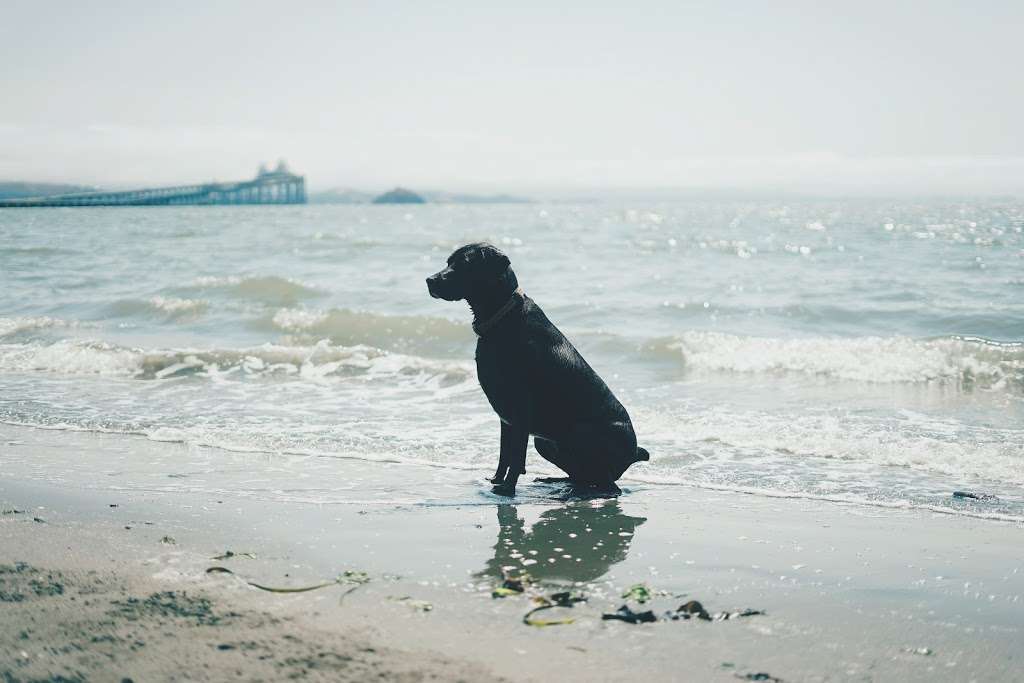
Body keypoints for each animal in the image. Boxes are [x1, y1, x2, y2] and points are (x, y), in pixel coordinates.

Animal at [423, 242, 647, 493]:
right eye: (449, 262)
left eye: (465, 264)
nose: (430, 280)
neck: (503, 316)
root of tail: (634, 453)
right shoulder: (506, 415)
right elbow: (504, 453)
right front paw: (497, 481)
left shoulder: (520, 407)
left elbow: (516, 455)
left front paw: (507, 489)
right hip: (545, 442)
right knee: (584, 476)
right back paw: (557, 483)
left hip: (580, 434)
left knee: (609, 485)